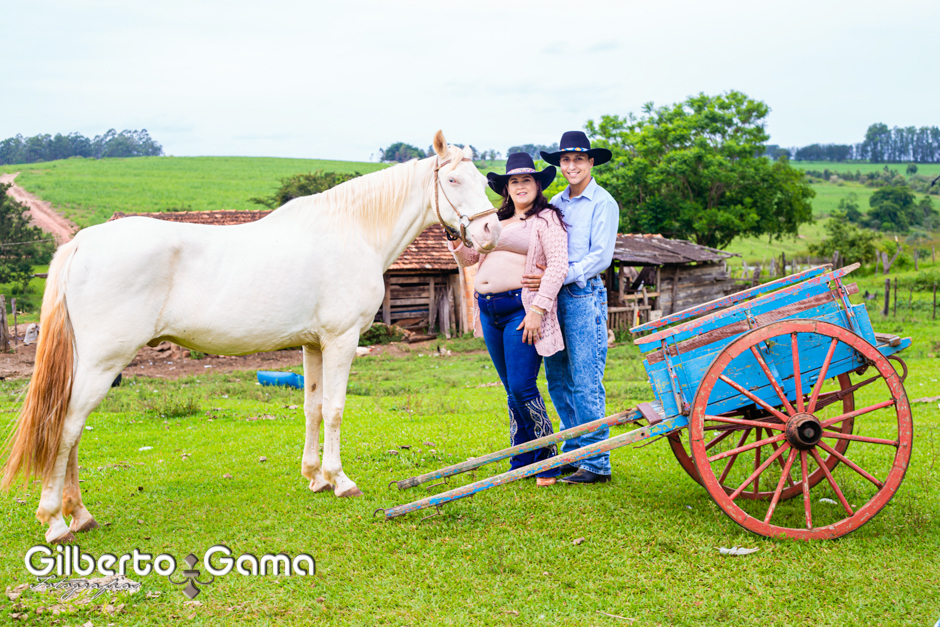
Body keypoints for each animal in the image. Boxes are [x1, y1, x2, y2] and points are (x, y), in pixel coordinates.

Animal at [1, 131, 501, 544]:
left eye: (482, 178)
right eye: (453, 179)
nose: (491, 231)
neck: (354, 232)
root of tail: (82, 243)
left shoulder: (313, 344)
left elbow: (312, 407)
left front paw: (315, 477)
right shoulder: (340, 341)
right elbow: (335, 410)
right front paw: (340, 481)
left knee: (72, 432)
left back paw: (80, 513)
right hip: (102, 363)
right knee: (66, 428)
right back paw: (57, 521)